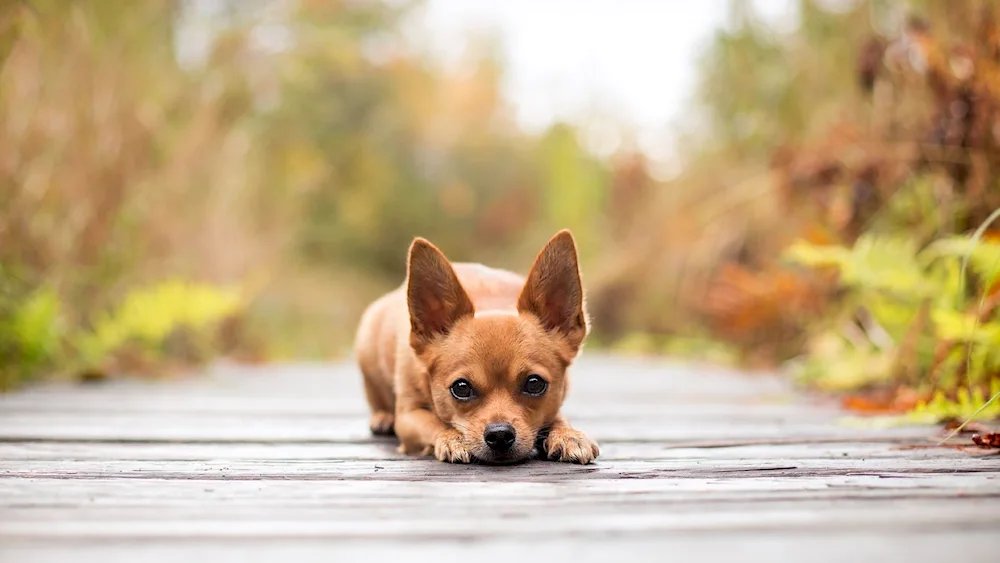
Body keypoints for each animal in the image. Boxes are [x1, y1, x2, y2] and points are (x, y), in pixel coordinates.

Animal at [354, 227, 596, 464]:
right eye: (461, 388)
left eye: (535, 384)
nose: (500, 434)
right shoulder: (408, 417)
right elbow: (435, 423)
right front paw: (453, 439)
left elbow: (557, 416)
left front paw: (568, 435)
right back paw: (383, 417)